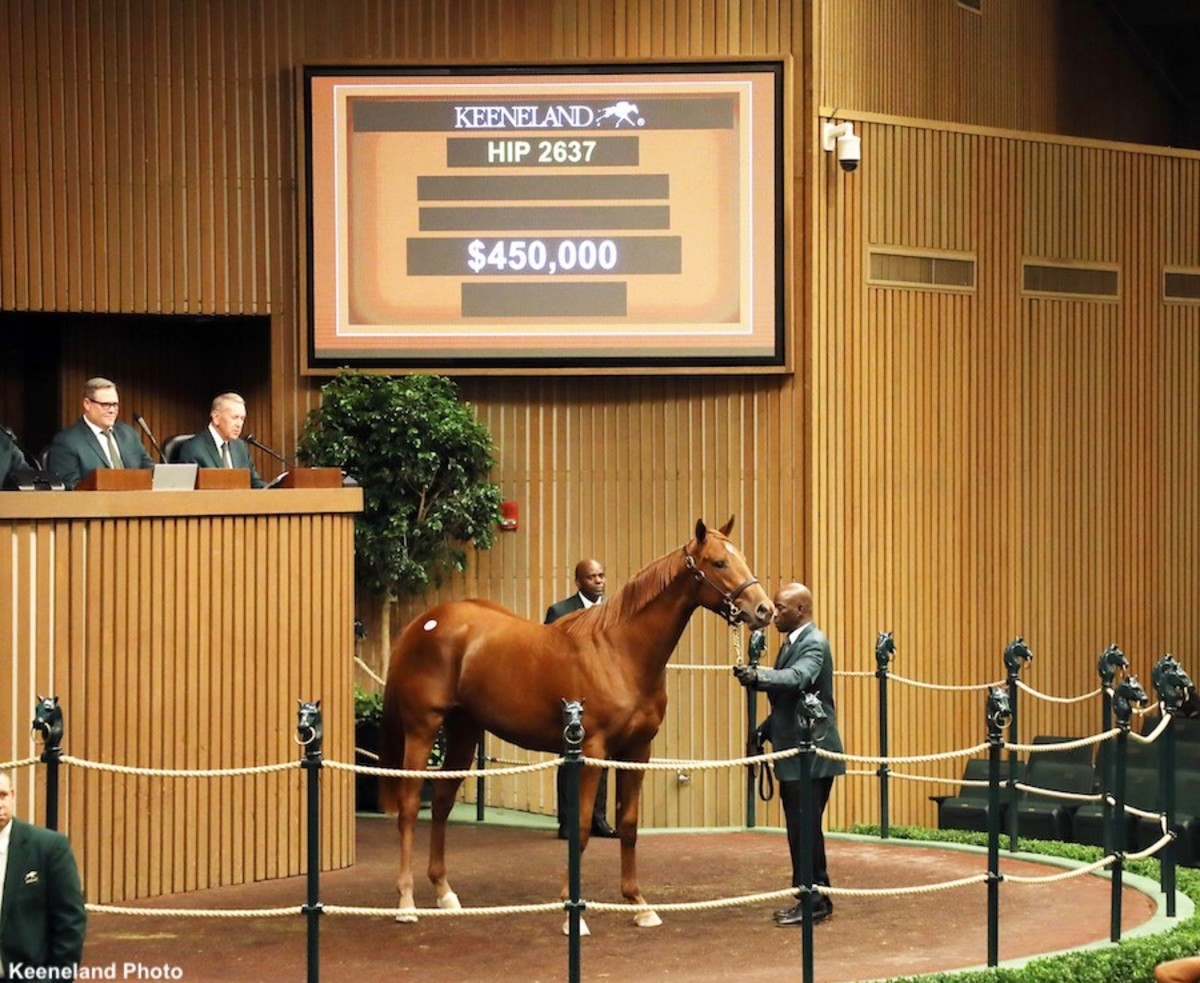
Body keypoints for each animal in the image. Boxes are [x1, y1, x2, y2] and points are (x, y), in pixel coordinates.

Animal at [384, 518, 777, 926]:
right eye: (718, 563)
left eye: (740, 557)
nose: (764, 609)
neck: (620, 652)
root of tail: (424, 623)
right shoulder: (591, 750)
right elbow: (583, 824)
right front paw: (571, 908)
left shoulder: (637, 751)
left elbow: (629, 824)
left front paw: (639, 904)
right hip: (423, 729)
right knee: (410, 806)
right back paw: (406, 902)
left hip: (463, 731)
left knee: (442, 801)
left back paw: (444, 892)